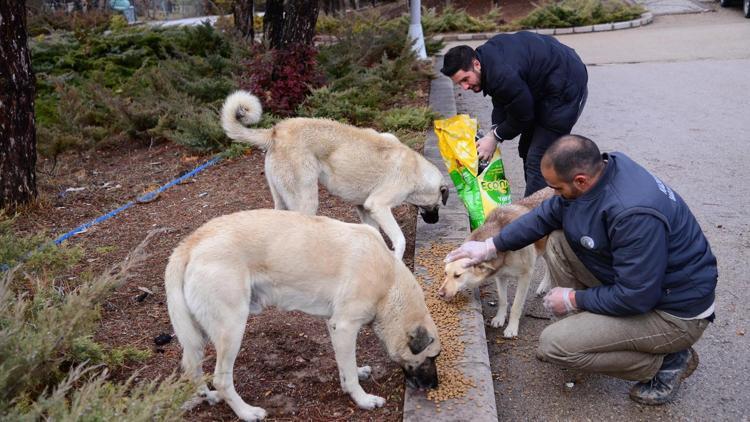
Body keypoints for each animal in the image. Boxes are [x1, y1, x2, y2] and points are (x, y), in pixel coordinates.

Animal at [166, 209, 440, 420]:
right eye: (431, 357)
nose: (434, 386)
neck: (389, 282)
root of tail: (191, 242)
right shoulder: (345, 326)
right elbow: (350, 374)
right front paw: (362, 399)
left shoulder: (335, 327)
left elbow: (346, 366)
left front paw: (354, 375)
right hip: (231, 328)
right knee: (222, 379)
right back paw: (246, 412)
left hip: (199, 334)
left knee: (191, 368)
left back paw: (208, 397)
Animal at [220, 90, 450, 258]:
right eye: (438, 204)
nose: (435, 220)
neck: (416, 170)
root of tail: (276, 131)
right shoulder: (379, 206)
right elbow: (400, 240)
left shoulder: (365, 208)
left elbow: (374, 234)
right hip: (306, 200)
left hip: (281, 199)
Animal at [438, 187, 556, 336]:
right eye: (445, 273)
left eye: (457, 276)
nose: (440, 294)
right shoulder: (500, 276)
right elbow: (502, 300)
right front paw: (500, 318)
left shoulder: (525, 276)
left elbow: (516, 305)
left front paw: (512, 327)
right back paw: (544, 286)